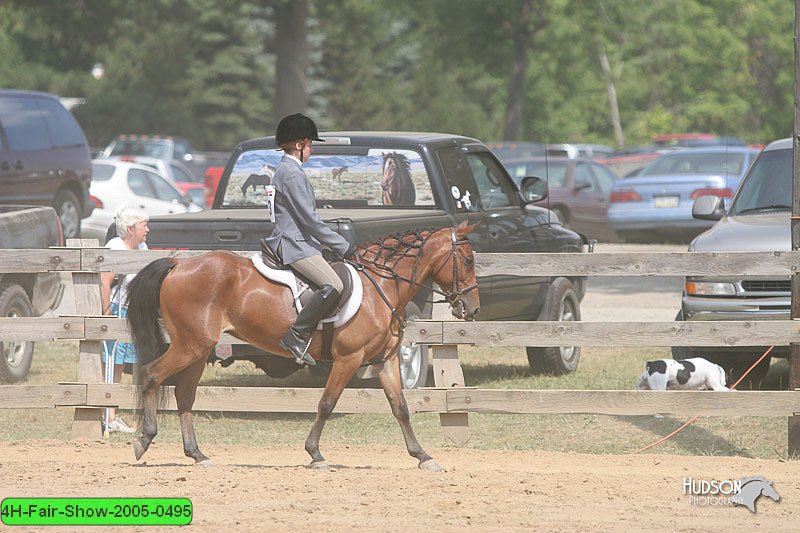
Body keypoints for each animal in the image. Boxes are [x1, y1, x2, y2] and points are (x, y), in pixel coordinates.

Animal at [123, 222, 476, 468]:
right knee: (151, 374)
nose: (471, 309)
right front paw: (315, 454)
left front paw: (422, 455)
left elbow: (400, 407)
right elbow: (327, 403)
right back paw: (144, 439)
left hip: (198, 347)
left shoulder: (384, 359)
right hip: (189, 345)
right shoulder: (348, 359)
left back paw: (197, 454)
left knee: (184, 394)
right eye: (469, 260)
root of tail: (179, 264)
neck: (382, 284)